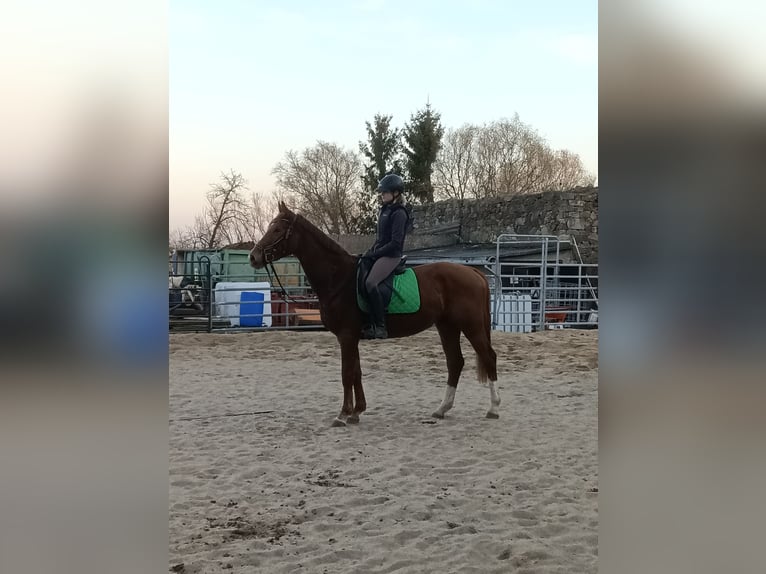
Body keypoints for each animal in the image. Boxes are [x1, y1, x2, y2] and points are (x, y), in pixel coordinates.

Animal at [249, 201, 500, 427]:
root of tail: (474, 272)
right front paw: (357, 412)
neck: (340, 279)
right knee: (455, 362)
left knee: (488, 357)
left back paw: (493, 409)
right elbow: (356, 372)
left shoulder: (347, 336)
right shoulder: (352, 337)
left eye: (277, 230)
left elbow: (346, 373)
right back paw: (442, 409)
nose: (253, 256)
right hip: (447, 326)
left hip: (471, 326)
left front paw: (343, 414)